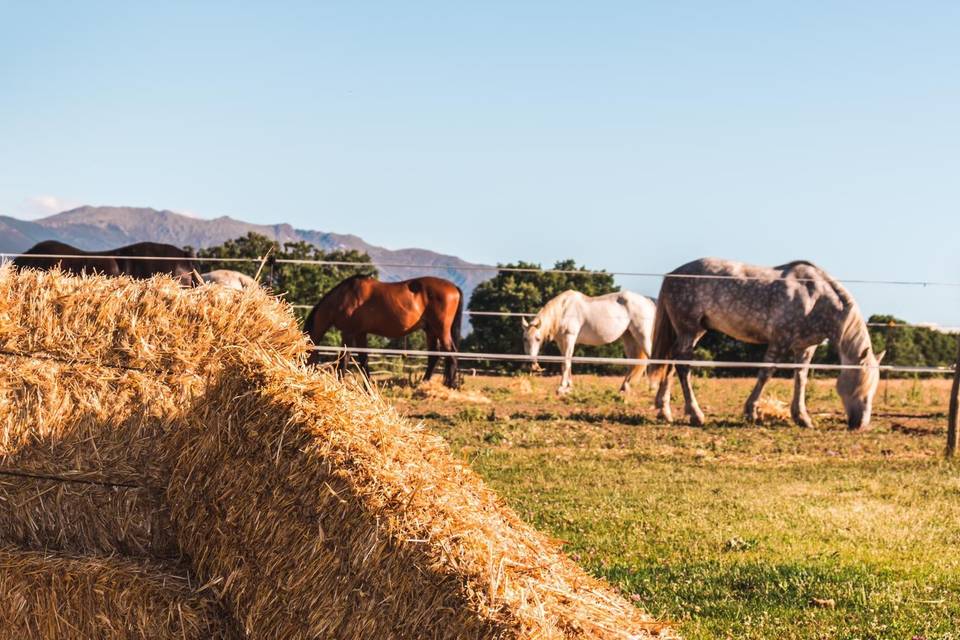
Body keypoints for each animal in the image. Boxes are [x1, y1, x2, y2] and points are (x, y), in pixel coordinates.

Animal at [304, 274, 462, 384]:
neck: (344, 297)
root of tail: (454, 287)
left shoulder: (348, 333)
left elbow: (344, 358)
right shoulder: (360, 333)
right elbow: (363, 359)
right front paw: (368, 385)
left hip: (441, 330)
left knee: (451, 353)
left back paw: (451, 384)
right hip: (430, 331)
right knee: (434, 356)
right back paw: (425, 382)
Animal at [520, 292, 656, 396]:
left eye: (538, 339)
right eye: (525, 339)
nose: (532, 363)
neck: (564, 310)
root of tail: (648, 301)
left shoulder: (570, 338)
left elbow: (566, 362)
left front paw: (561, 388)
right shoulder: (561, 342)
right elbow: (566, 363)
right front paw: (569, 387)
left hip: (643, 336)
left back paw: (653, 389)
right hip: (629, 338)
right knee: (632, 362)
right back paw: (624, 388)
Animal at [644, 256, 884, 430]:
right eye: (859, 383)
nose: (860, 424)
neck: (815, 297)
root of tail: (672, 275)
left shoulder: (805, 347)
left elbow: (801, 378)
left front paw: (802, 417)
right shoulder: (780, 340)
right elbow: (766, 373)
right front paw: (751, 411)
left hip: (693, 332)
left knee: (671, 363)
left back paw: (664, 411)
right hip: (688, 329)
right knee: (683, 366)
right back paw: (695, 414)